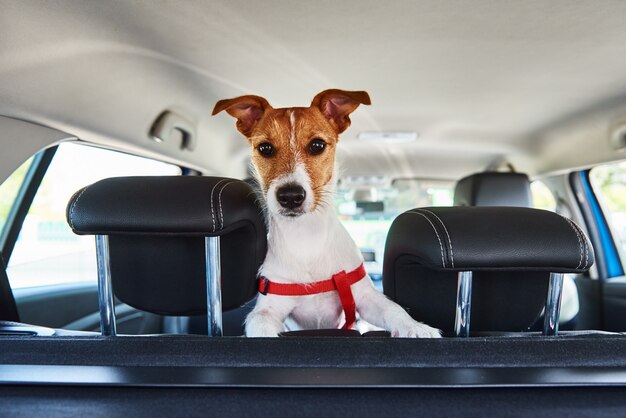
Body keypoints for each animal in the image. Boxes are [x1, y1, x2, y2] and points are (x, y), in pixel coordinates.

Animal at [212, 90, 442, 338]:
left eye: (317, 145)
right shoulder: (267, 309)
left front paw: (415, 327)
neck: (306, 238)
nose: (290, 196)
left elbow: (394, 309)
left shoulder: (365, 298)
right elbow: (259, 324)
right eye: (265, 148)